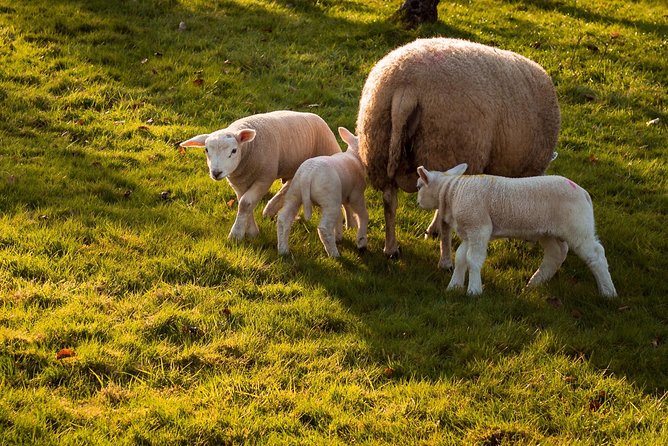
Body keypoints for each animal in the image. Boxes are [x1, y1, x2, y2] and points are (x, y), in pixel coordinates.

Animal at [180, 111, 342, 240]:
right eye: (206, 150)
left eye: (234, 150)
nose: (216, 172)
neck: (247, 150)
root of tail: (317, 117)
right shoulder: (238, 183)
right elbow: (245, 204)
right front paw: (252, 232)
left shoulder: (265, 178)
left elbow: (245, 203)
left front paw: (236, 235)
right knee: (289, 184)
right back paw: (270, 209)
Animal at [278, 126, 370, 258]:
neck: (354, 156)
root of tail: (308, 175)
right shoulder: (356, 195)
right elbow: (363, 215)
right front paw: (361, 241)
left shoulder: (340, 196)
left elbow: (339, 216)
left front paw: (338, 236)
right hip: (329, 199)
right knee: (324, 228)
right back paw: (334, 254)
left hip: (295, 193)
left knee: (283, 219)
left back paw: (283, 250)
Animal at [358, 38, 560, 264]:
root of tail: (406, 86)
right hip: (446, 148)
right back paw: (444, 257)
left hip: (378, 147)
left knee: (389, 201)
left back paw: (391, 248)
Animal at [418, 162, 616, 298]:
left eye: (419, 186)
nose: (417, 202)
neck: (452, 191)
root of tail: (584, 193)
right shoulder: (469, 231)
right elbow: (460, 258)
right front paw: (454, 287)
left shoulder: (479, 228)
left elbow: (473, 260)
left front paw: (474, 290)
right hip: (548, 231)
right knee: (556, 253)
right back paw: (534, 282)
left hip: (578, 228)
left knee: (596, 255)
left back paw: (608, 292)